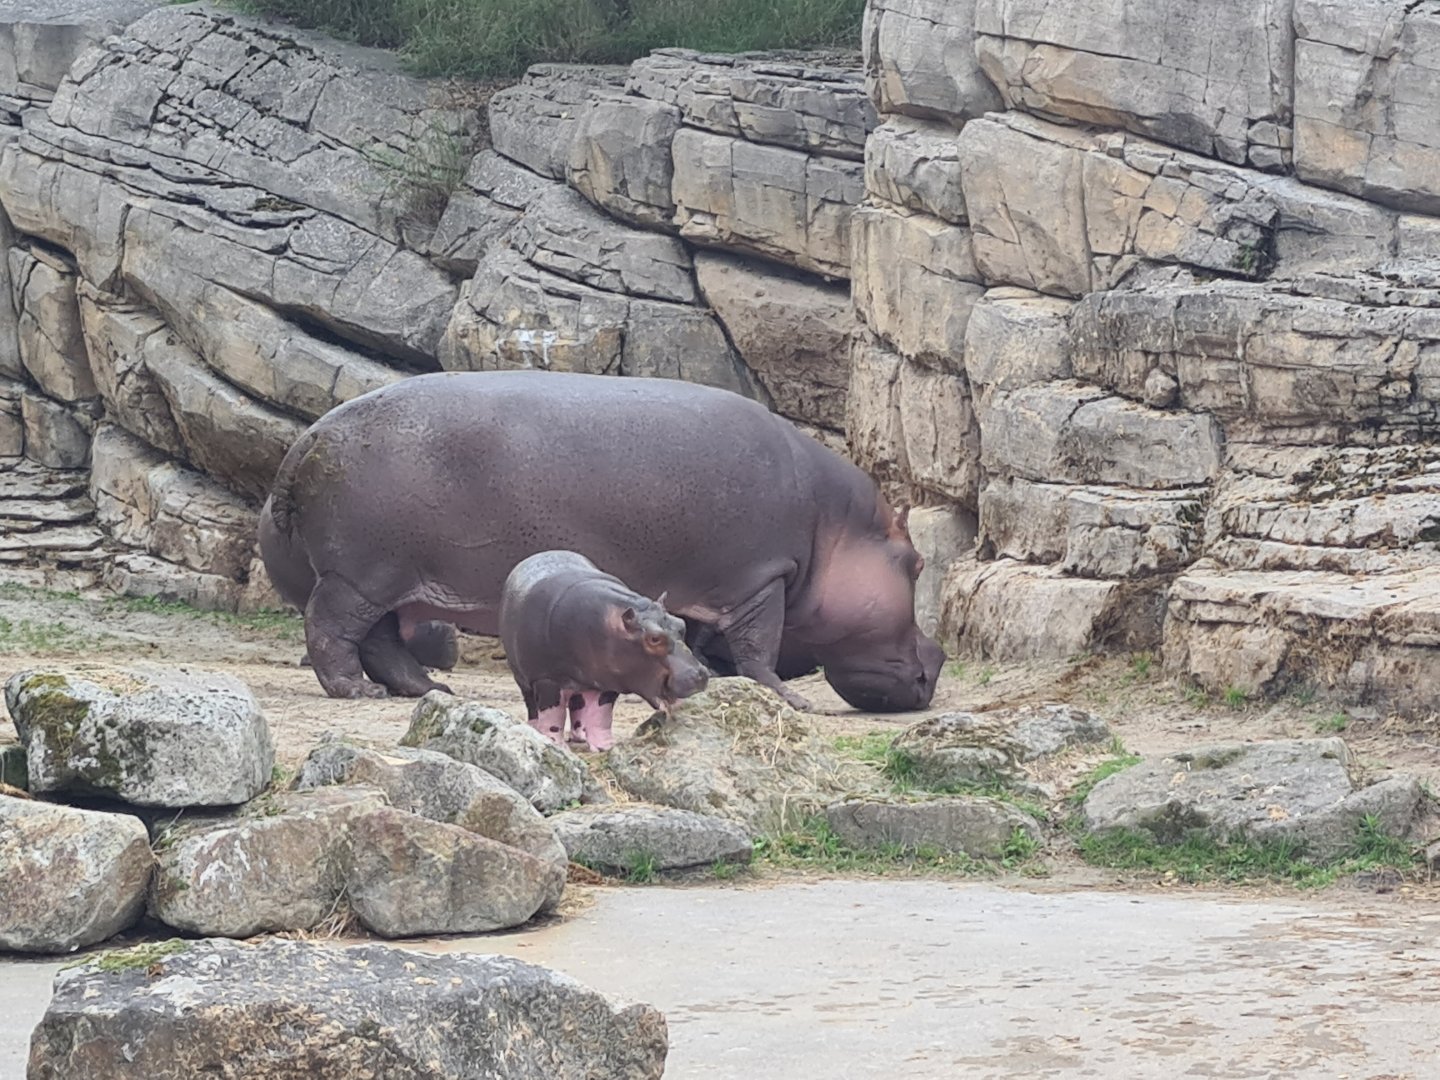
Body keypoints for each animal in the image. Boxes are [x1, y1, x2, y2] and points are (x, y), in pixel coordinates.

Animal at [257, 370, 944, 712]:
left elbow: (712, 644)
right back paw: (357, 692)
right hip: (360, 576)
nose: (935, 660)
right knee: (332, 631)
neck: (837, 529)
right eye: (916, 564)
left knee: (384, 642)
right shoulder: (761, 577)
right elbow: (759, 647)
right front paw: (791, 701)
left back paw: (430, 692)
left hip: (391, 581)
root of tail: (303, 442)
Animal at [500, 550, 709, 750]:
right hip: (523, 677)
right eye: (654, 639)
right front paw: (554, 745)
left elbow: (602, 714)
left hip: (584, 683)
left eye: (681, 624)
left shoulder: (609, 680)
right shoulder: (546, 679)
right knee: (532, 704)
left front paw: (606, 746)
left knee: (578, 704)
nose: (700, 674)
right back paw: (533, 729)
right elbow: (552, 715)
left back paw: (580, 736)